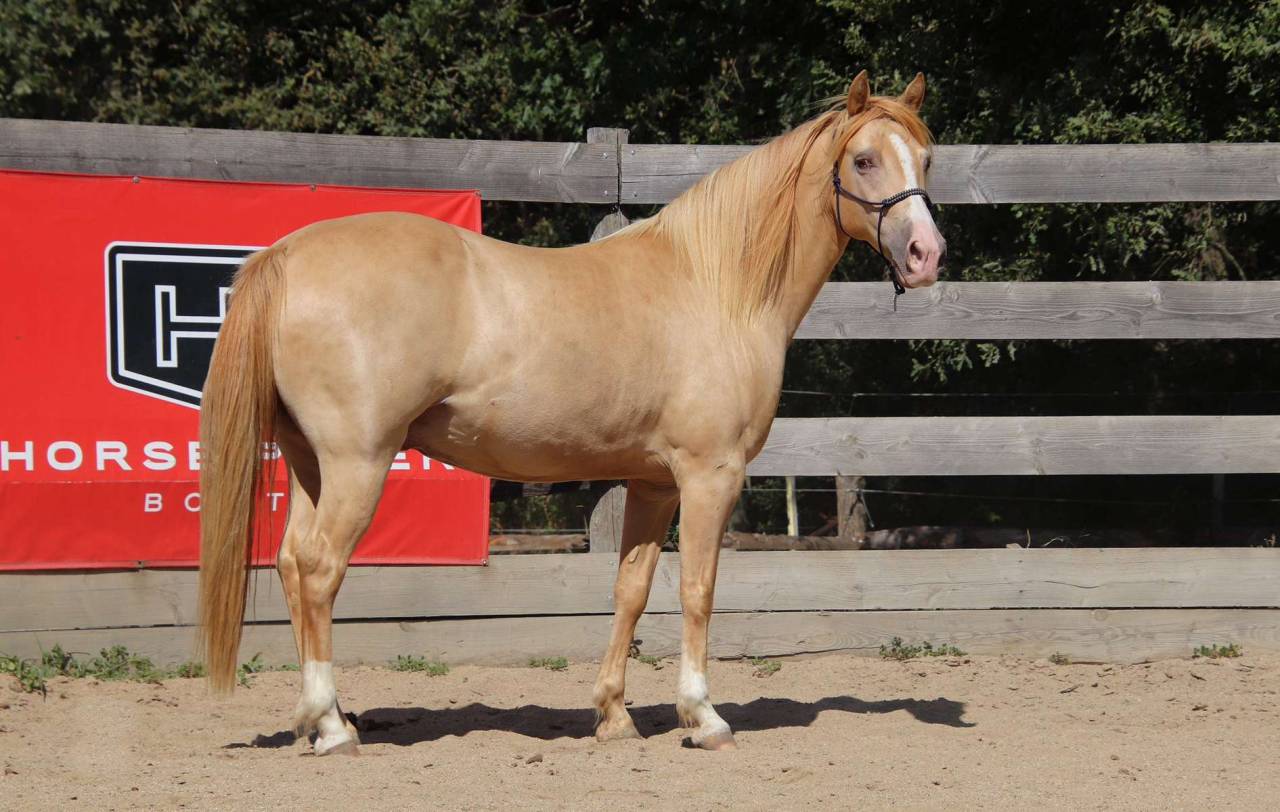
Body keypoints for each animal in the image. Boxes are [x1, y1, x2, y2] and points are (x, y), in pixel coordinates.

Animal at [198, 70, 944, 755]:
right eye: (863, 159)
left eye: (926, 158)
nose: (926, 255)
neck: (716, 286)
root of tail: (287, 253)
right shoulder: (710, 475)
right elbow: (698, 587)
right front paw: (703, 717)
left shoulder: (653, 482)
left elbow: (631, 589)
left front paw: (613, 715)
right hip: (359, 462)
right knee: (321, 569)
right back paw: (331, 728)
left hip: (311, 465)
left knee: (293, 564)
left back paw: (322, 718)